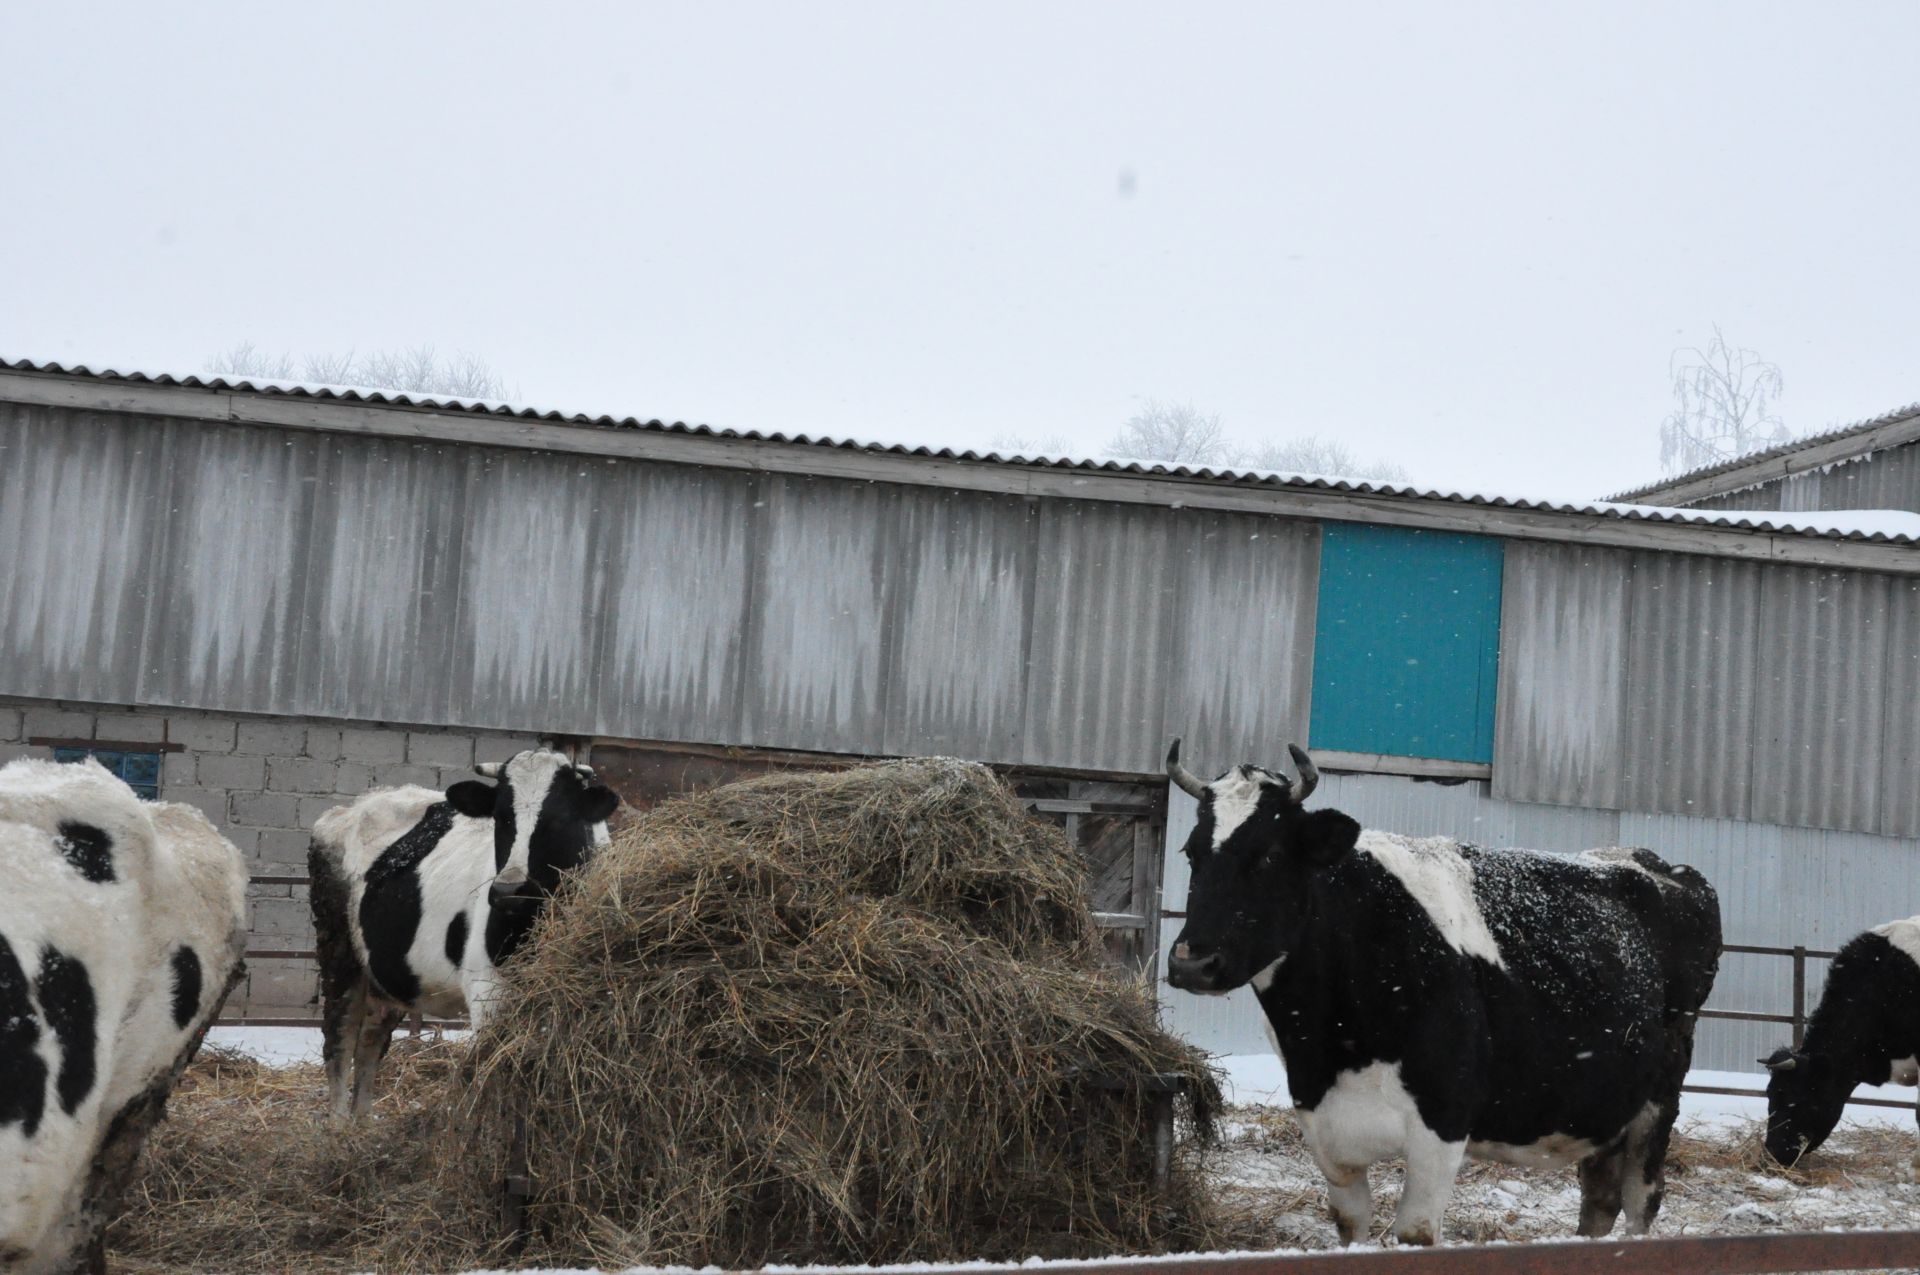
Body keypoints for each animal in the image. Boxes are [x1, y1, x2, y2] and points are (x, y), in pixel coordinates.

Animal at [311, 748, 614, 1113]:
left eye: (560, 818)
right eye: (501, 817)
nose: (508, 890)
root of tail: (349, 808)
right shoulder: (488, 991)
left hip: (388, 973)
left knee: (370, 1043)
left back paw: (361, 1122)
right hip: (339, 955)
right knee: (339, 1043)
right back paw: (340, 1123)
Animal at [1167, 737, 1728, 1244]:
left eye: (1269, 855)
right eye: (1192, 853)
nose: (1192, 962)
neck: (1333, 1045)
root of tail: (1656, 863)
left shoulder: (1442, 1125)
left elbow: (1415, 1234)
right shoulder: (1324, 1128)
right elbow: (1351, 1226)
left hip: (1658, 1099)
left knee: (1640, 1200)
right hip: (1603, 1110)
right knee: (1599, 1202)